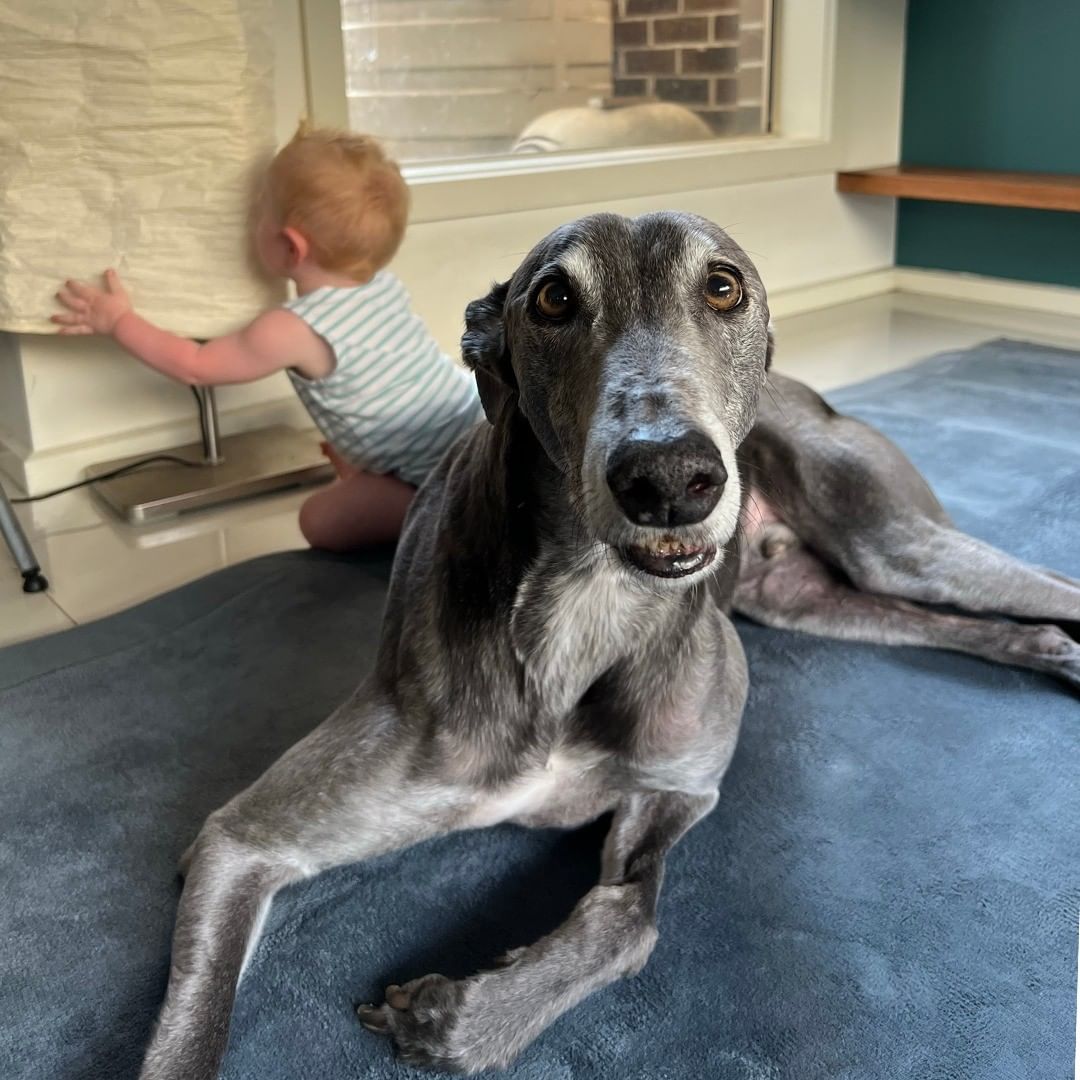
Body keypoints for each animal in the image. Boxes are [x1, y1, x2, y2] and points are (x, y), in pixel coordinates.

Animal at [141, 208, 1080, 1080]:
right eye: (554, 299)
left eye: (724, 286)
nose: (668, 478)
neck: (585, 606)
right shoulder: (242, 841)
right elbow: (191, 1027)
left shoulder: (680, 783)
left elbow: (631, 916)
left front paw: (462, 1017)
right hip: (815, 600)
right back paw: (1051, 653)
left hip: (894, 541)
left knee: (1038, 582)